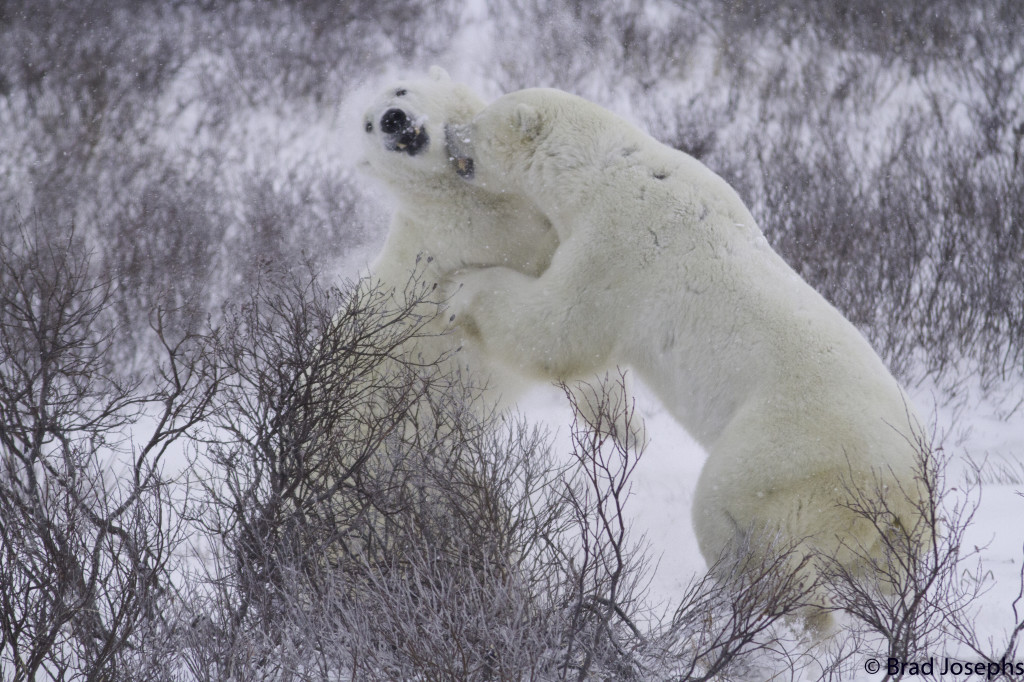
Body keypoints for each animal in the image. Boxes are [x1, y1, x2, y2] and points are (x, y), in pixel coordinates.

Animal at [445, 87, 926, 621]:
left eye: (478, 122)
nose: (446, 135)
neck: (602, 169)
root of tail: (906, 493)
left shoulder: (618, 247)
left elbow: (557, 328)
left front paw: (461, 289)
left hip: (798, 454)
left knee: (734, 512)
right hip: (886, 533)